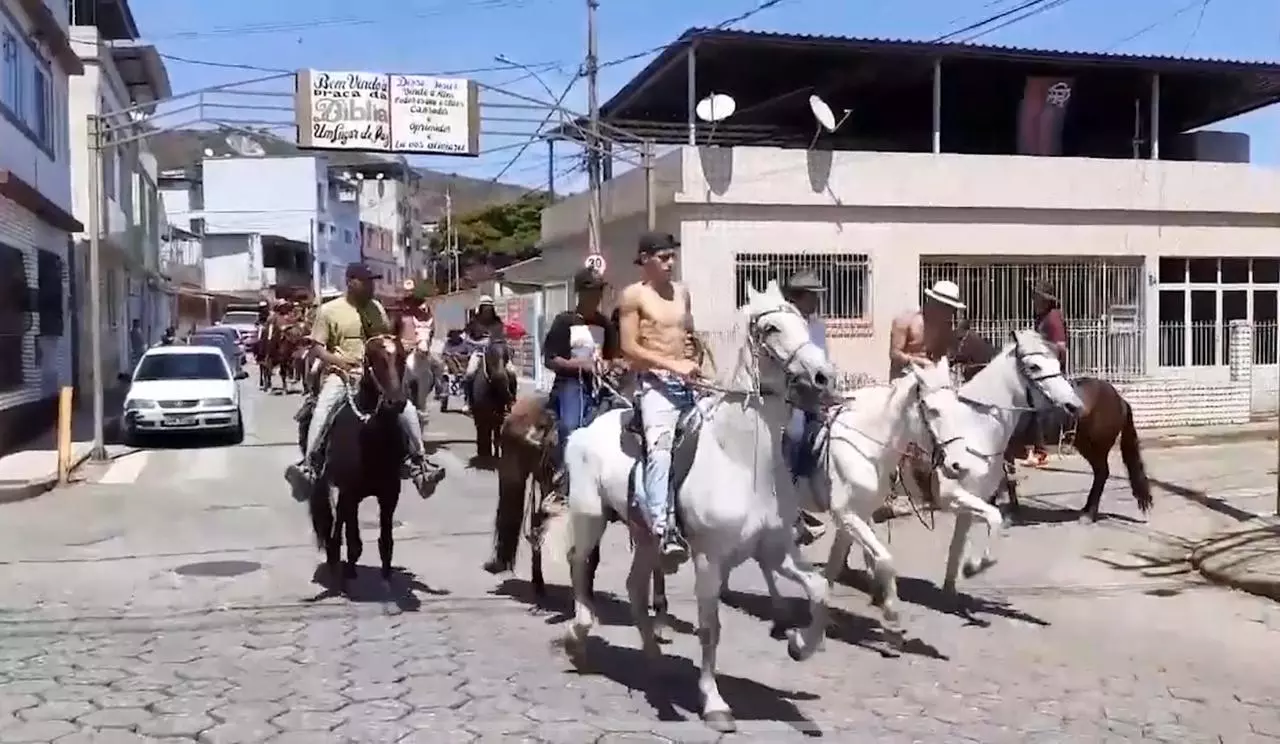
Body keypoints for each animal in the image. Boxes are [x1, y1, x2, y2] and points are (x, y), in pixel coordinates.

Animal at [302, 332, 407, 594]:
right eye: (375, 360)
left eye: (402, 357)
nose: (395, 402)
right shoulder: (349, 492)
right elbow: (351, 537)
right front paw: (346, 577)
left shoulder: (390, 494)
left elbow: (386, 541)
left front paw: (387, 581)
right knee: (338, 524)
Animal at [547, 280, 829, 732]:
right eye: (770, 328)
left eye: (802, 320)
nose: (823, 376)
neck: (741, 457)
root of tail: (588, 428)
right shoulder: (709, 558)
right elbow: (710, 628)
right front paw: (714, 703)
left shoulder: (775, 550)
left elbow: (819, 590)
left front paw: (798, 644)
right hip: (590, 515)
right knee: (579, 563)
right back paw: (579, 638)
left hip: (645, 535)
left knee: (634, 586)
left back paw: (653, 660)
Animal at [788, 353, 988, 632]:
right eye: (932, 410)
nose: (959, 465)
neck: (864, 447)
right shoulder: (846, 514)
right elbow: (884, 558)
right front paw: (891, 609)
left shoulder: (856, 515)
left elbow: (836, 564)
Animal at [952, 321, 1152, 519]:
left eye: (958, 337)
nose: (948, 357)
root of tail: (1120, 399)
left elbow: (1007, 476)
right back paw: (1087, 509)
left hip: (1097, 446)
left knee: (1102, 472)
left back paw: (1089, 513)